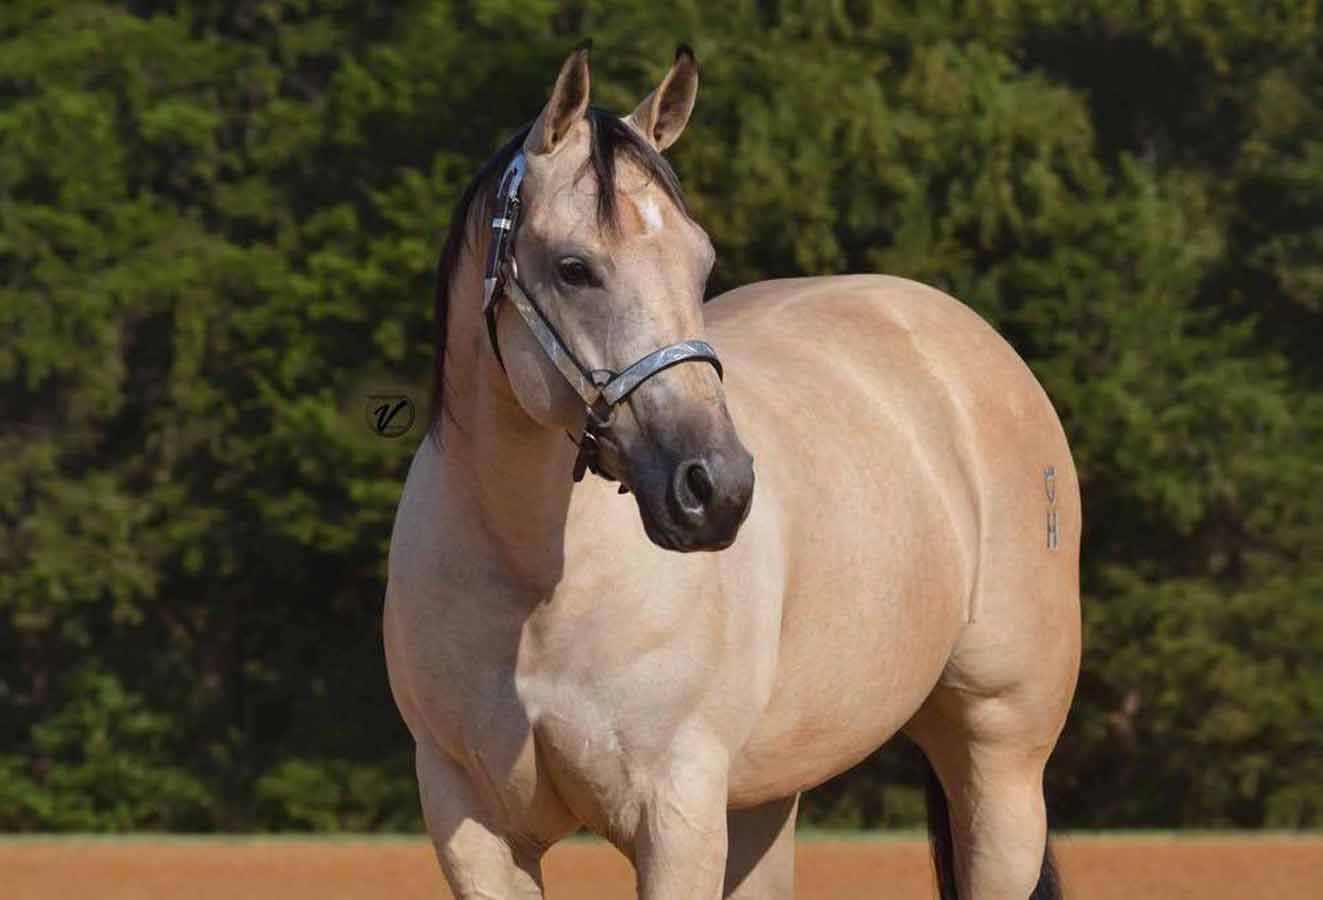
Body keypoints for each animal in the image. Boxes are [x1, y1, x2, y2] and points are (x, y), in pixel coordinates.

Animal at [384, 43, 1081, 900]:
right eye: (573, 268)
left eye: (700, 262)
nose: (715, 490)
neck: (532, 584)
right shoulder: (472, 824)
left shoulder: (675, 815)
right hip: (764, 796)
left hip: (999, 761)